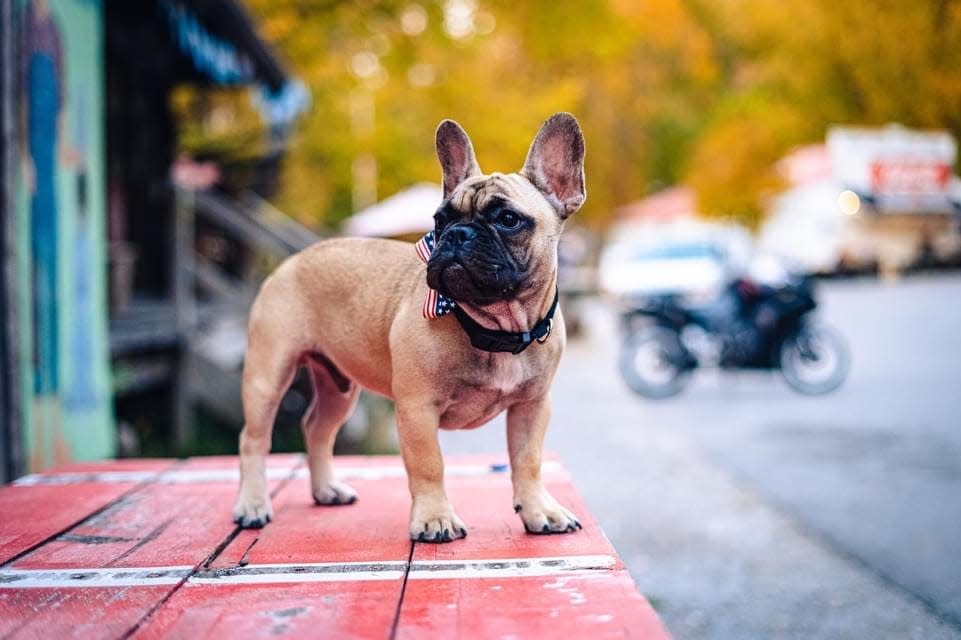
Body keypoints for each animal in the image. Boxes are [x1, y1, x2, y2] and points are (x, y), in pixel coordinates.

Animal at [234, 114, 584, 540]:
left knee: (317, 427)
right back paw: (252, 505)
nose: (456, 234)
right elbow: (428, 464)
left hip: (339, 387)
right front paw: (435, 518)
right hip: (268, 374)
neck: (495, 328)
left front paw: (539, 511)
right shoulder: (418, 408)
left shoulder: (532, 406)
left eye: (508, 219)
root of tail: (293, 259)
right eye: (440, 220)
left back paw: (326, 489)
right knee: (253, 439)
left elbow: (528, 460)